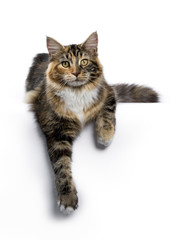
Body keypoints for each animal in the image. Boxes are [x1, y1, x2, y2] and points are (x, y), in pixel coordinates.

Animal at [25, 32, 159, 216]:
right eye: (65, 64)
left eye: (84, 62)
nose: (75, 73)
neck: (77, 93)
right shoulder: (56, 131)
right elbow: (62, 167)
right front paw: (67, 199)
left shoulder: (108, 91)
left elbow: (107, 113)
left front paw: (105, 136)